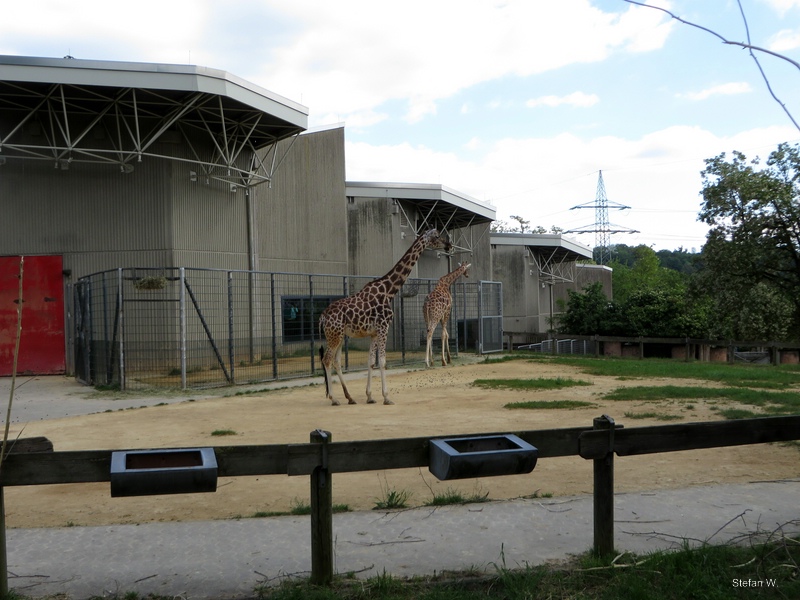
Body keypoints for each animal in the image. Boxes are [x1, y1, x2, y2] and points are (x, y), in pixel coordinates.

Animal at [319, 228, 451, 405]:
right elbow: (382, 361)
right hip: (334, 336)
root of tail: (322, 317)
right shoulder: (383, 327)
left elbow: (371, 362)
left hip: (339, 336)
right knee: (327, 360)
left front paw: (370, 396)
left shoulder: (374, 333)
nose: (449, 245)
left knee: (336, 361)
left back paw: (350, 397)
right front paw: (387, 397)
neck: (389, 291)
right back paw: (334, 399)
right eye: (437, 236)